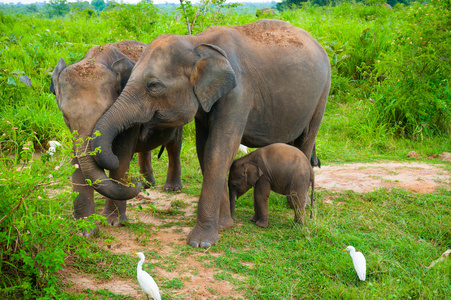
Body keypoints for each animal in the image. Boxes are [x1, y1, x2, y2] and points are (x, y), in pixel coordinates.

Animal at [50, 39, 184, 233]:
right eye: (65, 117)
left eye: (105, 113)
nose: (133, 181)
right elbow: (77, 162)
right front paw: (84, 231)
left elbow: (121, 158)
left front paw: (113, 222)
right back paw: (146, 184)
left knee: (174, 145)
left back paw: (170, 188)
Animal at [92, 20, 332, 246]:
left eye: (153, 85)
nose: (137, 182)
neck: (196, 42)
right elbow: (204, 149)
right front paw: (224, 225)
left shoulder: (239, 93)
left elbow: (219, 150)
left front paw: (201, 242)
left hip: (323, 93)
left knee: (306, 140)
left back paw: (297, 203)